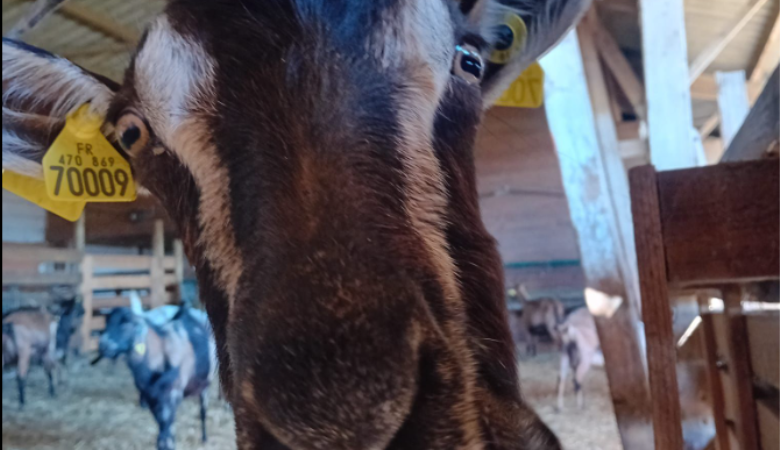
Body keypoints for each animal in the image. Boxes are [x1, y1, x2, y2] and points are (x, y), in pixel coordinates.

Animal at [95, 306, 216, 450]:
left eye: (126, 324)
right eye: (106, 322)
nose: (103, 346)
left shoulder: (173, 395)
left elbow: (166, 426)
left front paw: (169, 444)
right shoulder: (151, 397)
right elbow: (162, 427)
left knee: (203, 411)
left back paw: (204, 437)